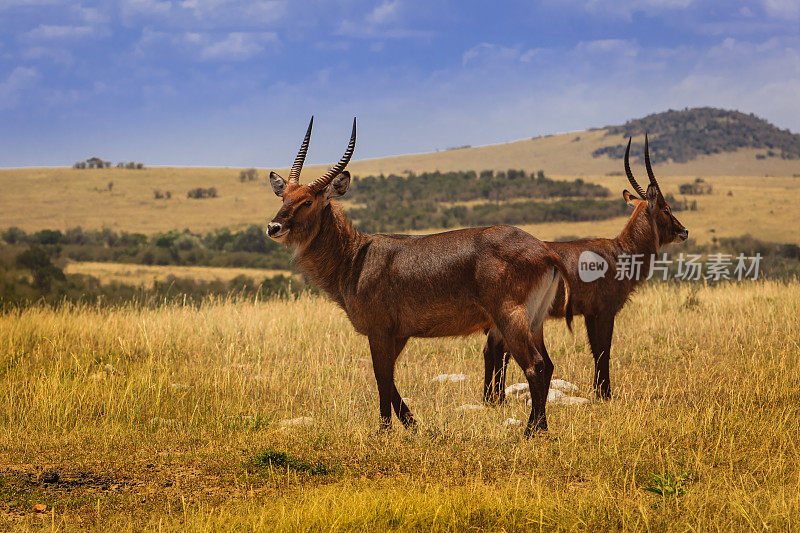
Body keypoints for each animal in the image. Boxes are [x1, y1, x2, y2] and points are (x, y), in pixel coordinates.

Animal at [268, 118, 576, 434]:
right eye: (283, 196)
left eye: (307, 201)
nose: (273, 227)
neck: (355, 258)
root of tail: (545, 251)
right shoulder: (399, 333)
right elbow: (389, 378)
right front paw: (413, 425)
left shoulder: (379, 330)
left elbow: (381, 377)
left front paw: (385, 429)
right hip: (535, 321)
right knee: (548, 364)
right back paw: (540, 427)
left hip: (511, 317)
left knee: (535, 365)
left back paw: (530, 431)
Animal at [478, 135, 692, 402]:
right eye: (666, 209)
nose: (684, 231)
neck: (620, 251)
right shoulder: (605, 311)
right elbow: (604, 350)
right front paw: (606, 394)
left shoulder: (590, 313)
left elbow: (595, 350)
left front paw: (599, 391)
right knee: (497, 349)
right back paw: (495, 399)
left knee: (492, 349)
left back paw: (493, 399)